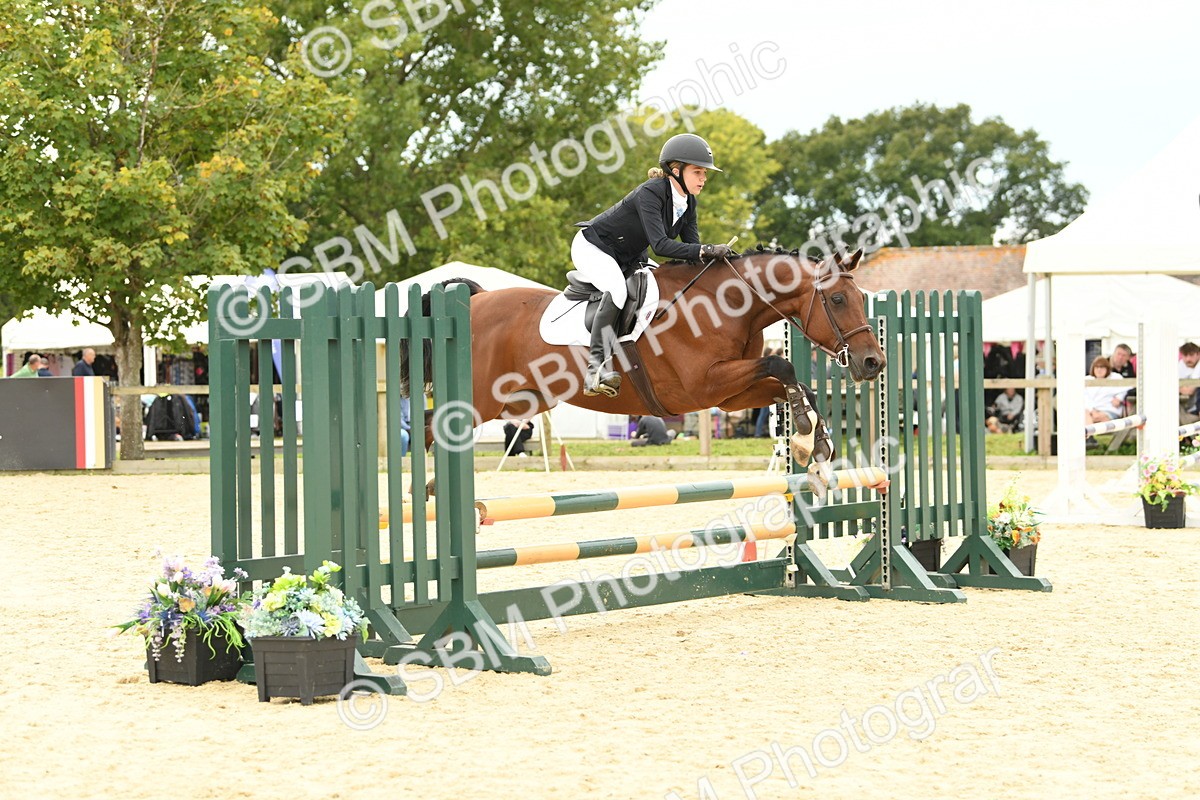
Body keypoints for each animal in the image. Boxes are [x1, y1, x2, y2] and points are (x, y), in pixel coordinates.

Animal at [404, 247, 886, 495]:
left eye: (862, 297)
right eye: (837, 300)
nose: (873, 362)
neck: (729, 304)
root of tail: (473, 301)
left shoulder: (728, 395)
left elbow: (792, 383)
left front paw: (814, 447)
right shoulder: (701, 386)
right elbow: (781, 363)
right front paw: (807, 438)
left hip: (517, 401)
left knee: (430, 426)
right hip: (481, 400)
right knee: (432, 425)